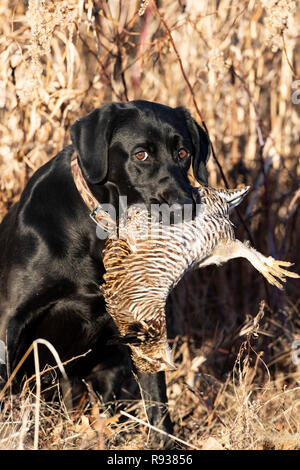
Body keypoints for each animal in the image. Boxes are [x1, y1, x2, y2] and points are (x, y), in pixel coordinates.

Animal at [0, 101, 210, 438]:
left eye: (183, 153)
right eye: (141, 154)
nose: (186, 206)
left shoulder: (143, 324)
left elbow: (157, 402)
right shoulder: (10, 318)